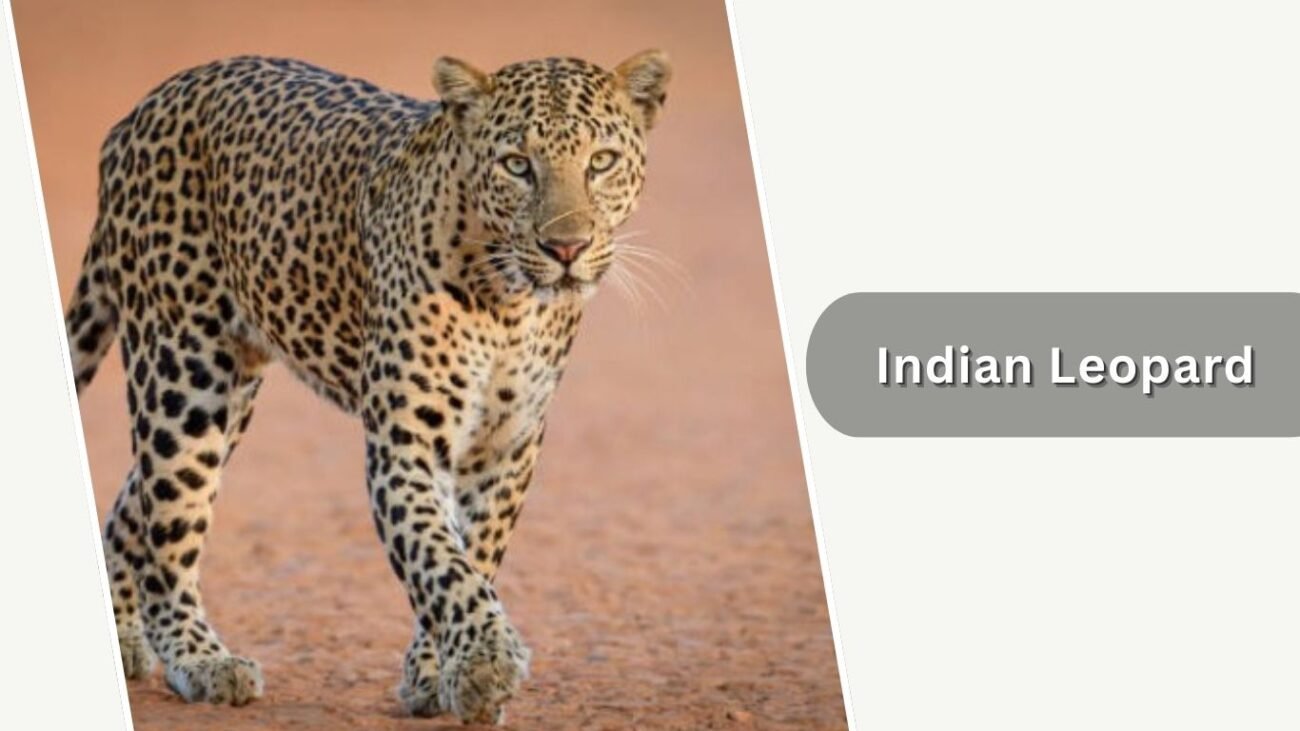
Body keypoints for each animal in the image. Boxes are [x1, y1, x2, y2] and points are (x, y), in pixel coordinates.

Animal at [63, 50, 670, 724]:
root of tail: (139, 112)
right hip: (183, 375)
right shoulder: (406, 443)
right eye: (517, 164)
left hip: (231, 394)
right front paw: (484, 661)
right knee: (169, 525)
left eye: (601, 162)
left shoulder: (506, 449)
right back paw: (202, 661)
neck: (511, 306)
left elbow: (474, 556)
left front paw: (439, 674)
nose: (566, 247)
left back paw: (122, 639)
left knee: (135, 502)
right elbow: (437, 559)